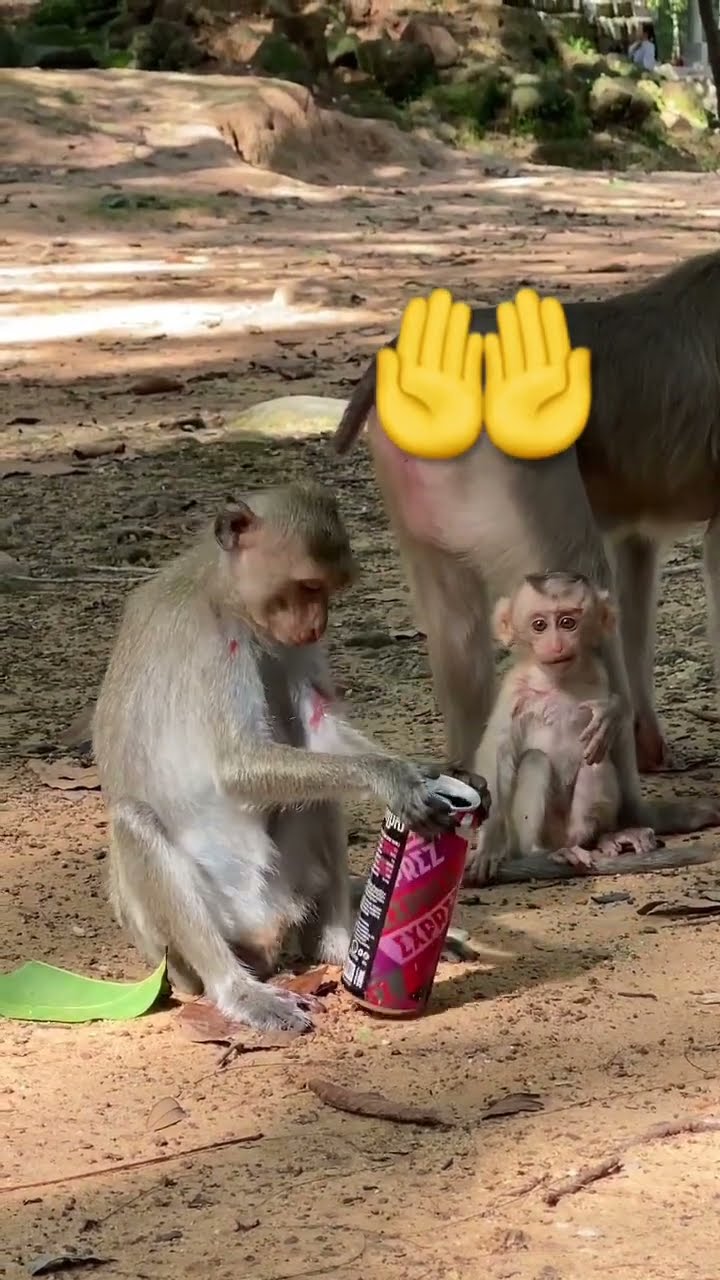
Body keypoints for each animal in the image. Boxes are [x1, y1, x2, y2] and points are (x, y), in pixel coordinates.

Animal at [92, 482, 458, 1034]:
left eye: (329, 591)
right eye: (307, 586)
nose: (319, 625)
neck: (224, 590)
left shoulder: (281, 643)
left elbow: (319, 731)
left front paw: (418, 772)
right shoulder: (215, 643)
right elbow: (236, 766)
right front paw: (394, 779)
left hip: (286, 887)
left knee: (321, 794)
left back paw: (338, 946)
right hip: (177, 945)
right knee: (135, 819)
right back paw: (238, 989)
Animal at [467, 572, 660, 882]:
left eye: (568, 622)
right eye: (539, 625)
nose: (556, 645)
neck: (557, 681)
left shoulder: (598, 672)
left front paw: (611, 712)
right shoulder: (514, 688)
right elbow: (495, 753)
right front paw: (488, 846)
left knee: (595, 760)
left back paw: (598, 838)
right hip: (533, 833)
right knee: (535, 761)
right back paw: (542, 852)